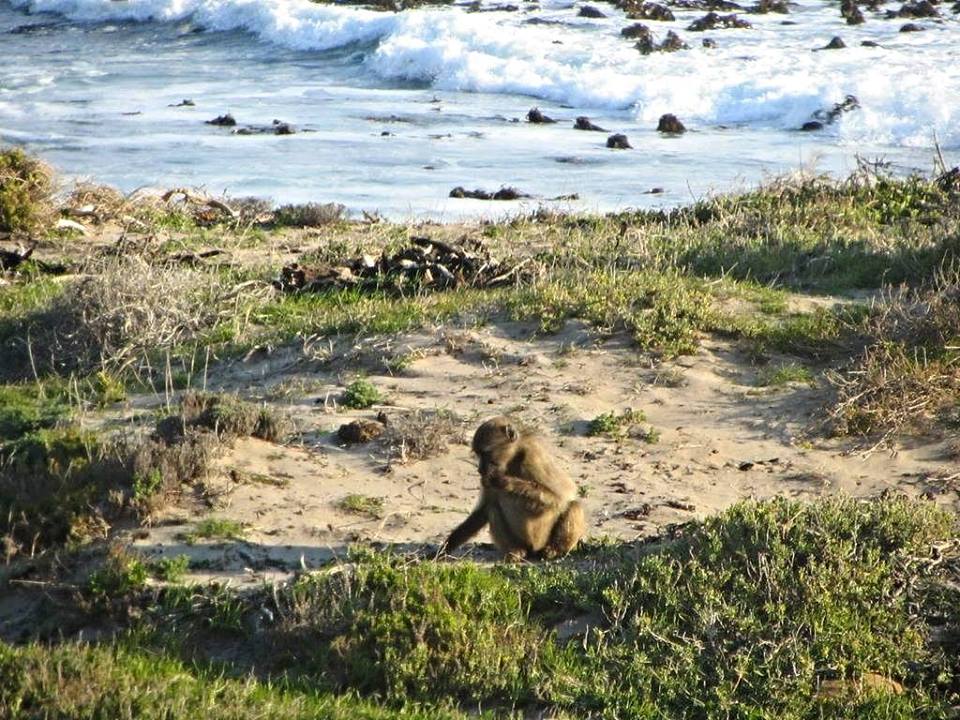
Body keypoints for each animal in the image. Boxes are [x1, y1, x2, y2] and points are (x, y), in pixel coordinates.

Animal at [441, 416, 585, 561]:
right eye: (478, 454)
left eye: (485, 453)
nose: (480, 470)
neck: (512, 458)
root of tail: (533, 550)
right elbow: (482, 511)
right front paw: (444, 549)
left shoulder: (534, 456)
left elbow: (560, 497)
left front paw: (504, 482)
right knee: (492, 508)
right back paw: (515, 552)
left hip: (543, 541)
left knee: (574, 505)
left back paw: (553, 550)